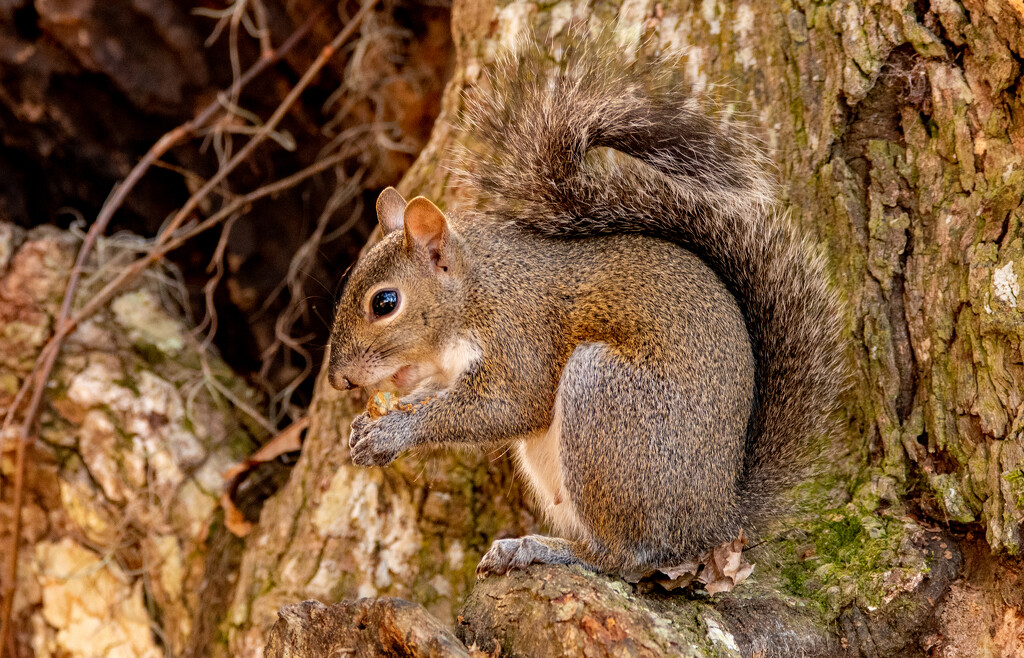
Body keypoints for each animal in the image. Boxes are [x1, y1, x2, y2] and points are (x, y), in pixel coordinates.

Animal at [329, 38, 847, 581]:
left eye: (385, 303)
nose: (338, 379)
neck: (477, 293)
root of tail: (716, 518)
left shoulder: (518, 336)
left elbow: (508, 405)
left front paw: (393, 432)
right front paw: (370, 423)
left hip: (606, 406)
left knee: (625, 557)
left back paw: (540, 548)